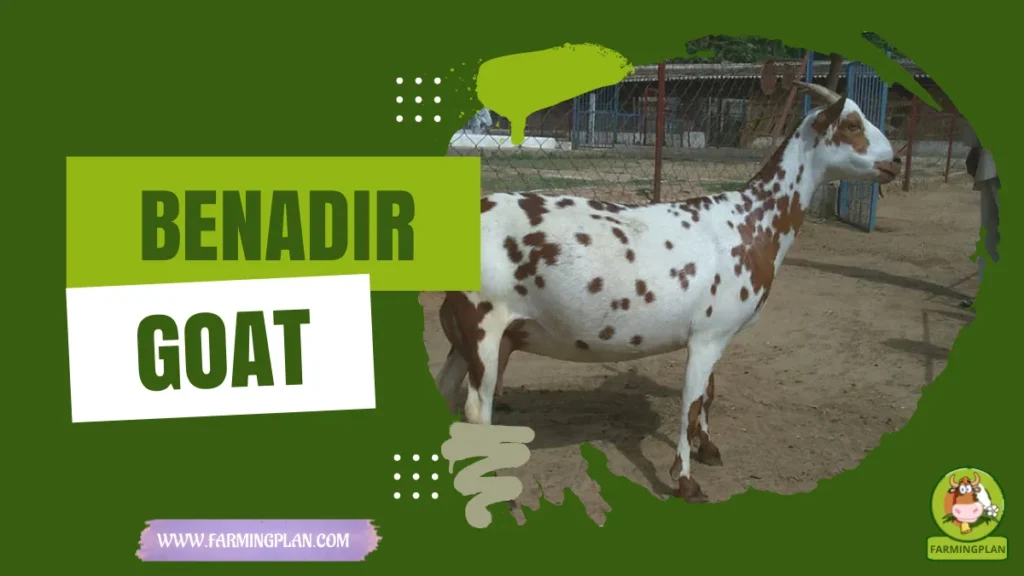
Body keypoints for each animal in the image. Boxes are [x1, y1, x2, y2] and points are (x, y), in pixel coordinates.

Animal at [434, 81, 902, 502]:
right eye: (853, 124)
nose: (895, 162)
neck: (751, 223)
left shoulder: (715, 333)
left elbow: (709, 394)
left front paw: (708, 449)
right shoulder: (707, 337)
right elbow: (690, 404)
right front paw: (685, 481)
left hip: (466, 332)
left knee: (446, 393)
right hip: (484, 322)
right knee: (477, 408)